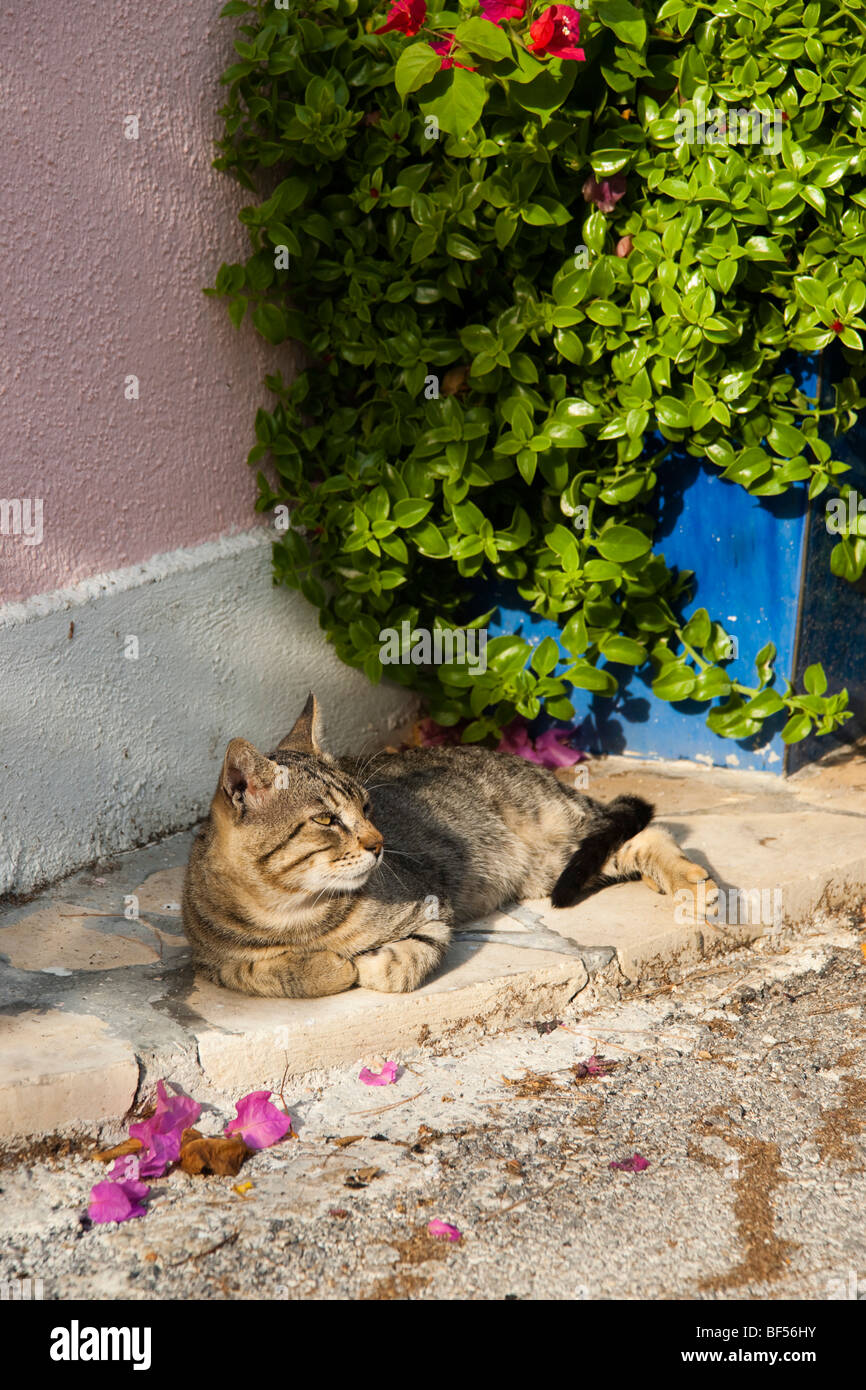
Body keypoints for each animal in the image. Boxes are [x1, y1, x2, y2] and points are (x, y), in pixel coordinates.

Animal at [184, 695, 717, 1000]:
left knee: (648, 830)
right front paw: (319, 967)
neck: (290, 913)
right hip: (556, 866)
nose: (378, 844)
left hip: (561, 838)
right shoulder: (212, 963)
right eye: (326, 820)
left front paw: (364, 963)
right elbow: (255, 971)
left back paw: (691, 883)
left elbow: (400, 964)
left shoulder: (432, 910)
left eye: (367, 806)